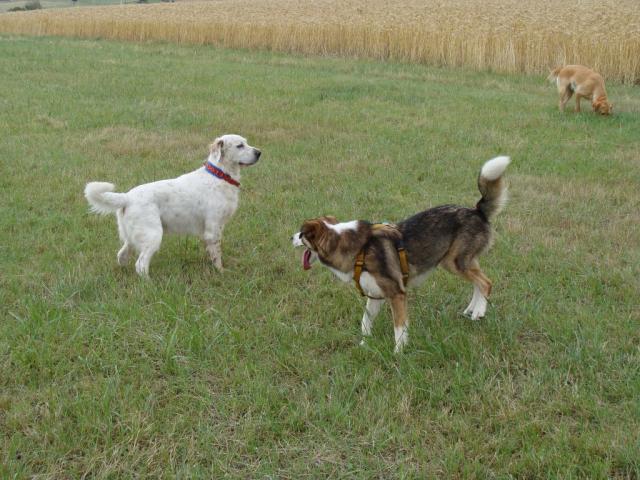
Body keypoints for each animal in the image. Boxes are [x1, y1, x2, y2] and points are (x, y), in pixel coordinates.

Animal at [84, 135, 260, 278]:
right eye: (239, 145)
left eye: (246, 142)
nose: (259, 152)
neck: (220, 176)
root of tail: (127, 197)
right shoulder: (213, 228)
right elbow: (217, 255)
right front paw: (221, 272)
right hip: (153, 235)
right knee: (140, 264)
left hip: (133, 236)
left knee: (122, 255)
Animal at [294, 156, 510, 350]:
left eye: (302, 234)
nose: (291, 237)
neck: (361, 249)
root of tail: (477, 211)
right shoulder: (375, 295)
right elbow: (365, 322)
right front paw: (364, 345)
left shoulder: (397, 294)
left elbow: (399, 329)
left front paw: (398, 353)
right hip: (461, 262)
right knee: (478, 283)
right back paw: (472, 310)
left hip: (455, 262)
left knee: (485, 283)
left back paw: (479, 311)